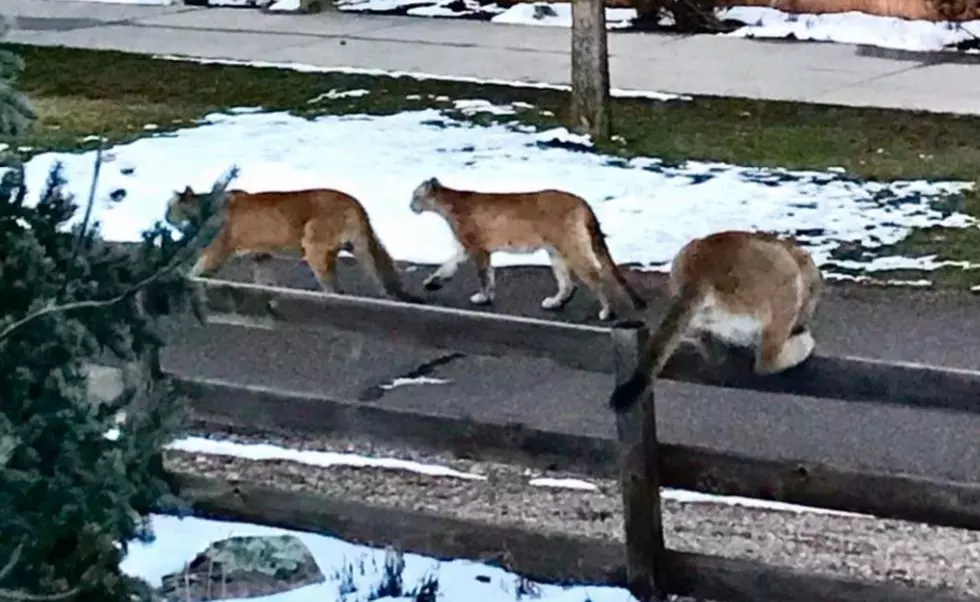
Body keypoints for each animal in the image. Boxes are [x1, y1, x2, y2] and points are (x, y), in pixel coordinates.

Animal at [406, 176, 644, 318]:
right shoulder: (466, 248)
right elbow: (448, 265)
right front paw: (432, 283)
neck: (448, 202)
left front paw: (483, 297)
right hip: (555, 251)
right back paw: (555, 302)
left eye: (415, 196)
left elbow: (484, 275)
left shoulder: (477, 248)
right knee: (568, 283)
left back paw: (606, 311)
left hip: (570, 247)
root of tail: (582, 201)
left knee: (595, 274)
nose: (410, 206)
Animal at [608, 230, 824, 412]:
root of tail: (700, 273)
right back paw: (803, 344)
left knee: (711, 351)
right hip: (783, 273)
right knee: (765, 361)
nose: (803, 322)